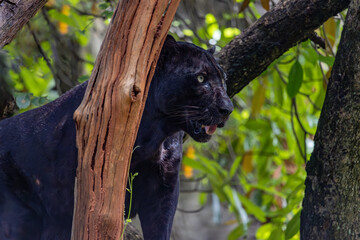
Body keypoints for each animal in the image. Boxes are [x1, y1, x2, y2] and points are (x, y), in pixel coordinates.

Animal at [0, 36, 233, 240]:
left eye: (223, 79)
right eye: (201, 78)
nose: (228, 109)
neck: (158, 133)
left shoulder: (164, 190)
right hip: (19, 217)